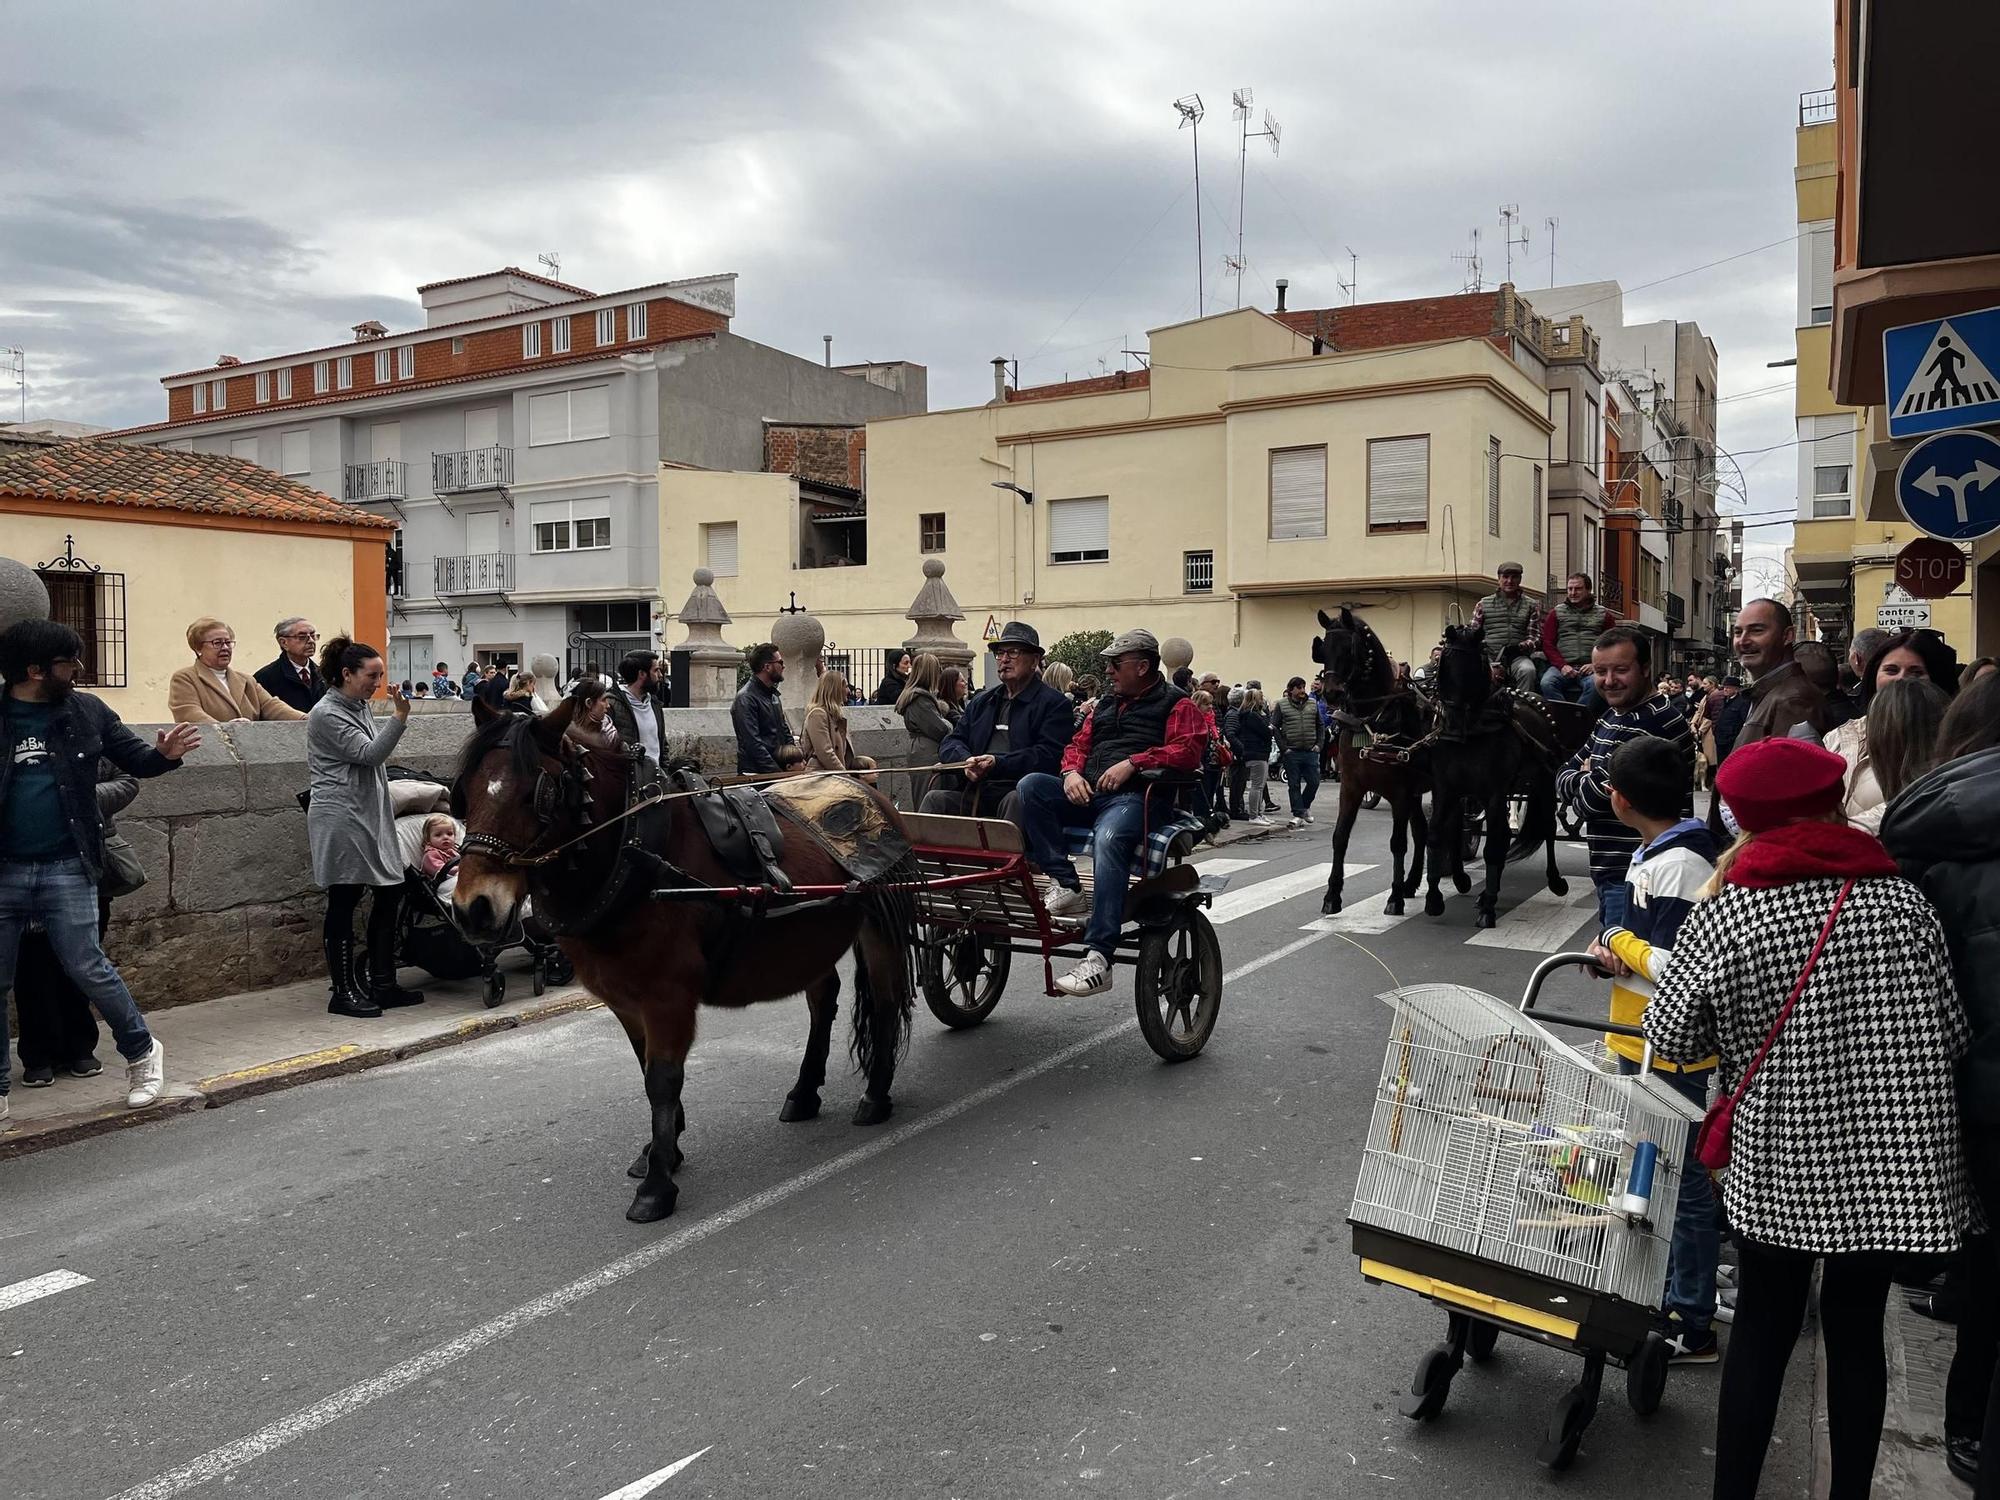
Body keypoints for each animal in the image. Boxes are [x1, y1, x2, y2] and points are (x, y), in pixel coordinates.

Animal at [450, 692, 916, 1224]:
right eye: (464, 793)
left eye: (536, 795)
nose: (473, 909)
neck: (634, 853)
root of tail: (866, 789)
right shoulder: (624, 997)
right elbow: (645, 1069)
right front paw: (663, 1149)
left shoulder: (667, 996)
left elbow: (662, 1079)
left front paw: (657, 1182)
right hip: (812, 935)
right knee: (824, 1002)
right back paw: (804, 1092)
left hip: (877, 926)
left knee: (884, 1000)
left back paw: (876, 1094)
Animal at [1312, 608, 1440, 916]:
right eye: (1324, 648)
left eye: (1350, 649)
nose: (1331, 693)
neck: (1371, 719)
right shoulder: (1351, 787)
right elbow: (1340, 836)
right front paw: (1332, 895)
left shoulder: (1399, 793)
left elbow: (1397, 844)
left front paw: (1394, 897)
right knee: (1422, 831)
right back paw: (1412, 881)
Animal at [1424, 624, 1576, 928]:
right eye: (1444, 663)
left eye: (1474, 665)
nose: (1453, 722)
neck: (1471, 730)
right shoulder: (1446, 789)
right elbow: (1436, 834)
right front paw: (1434, 899)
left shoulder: (1493, 791)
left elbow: (1494, 846)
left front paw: (1488, 909)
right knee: (1503, 833)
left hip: (1543, 783)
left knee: (1546, 830)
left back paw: (1555, 881)